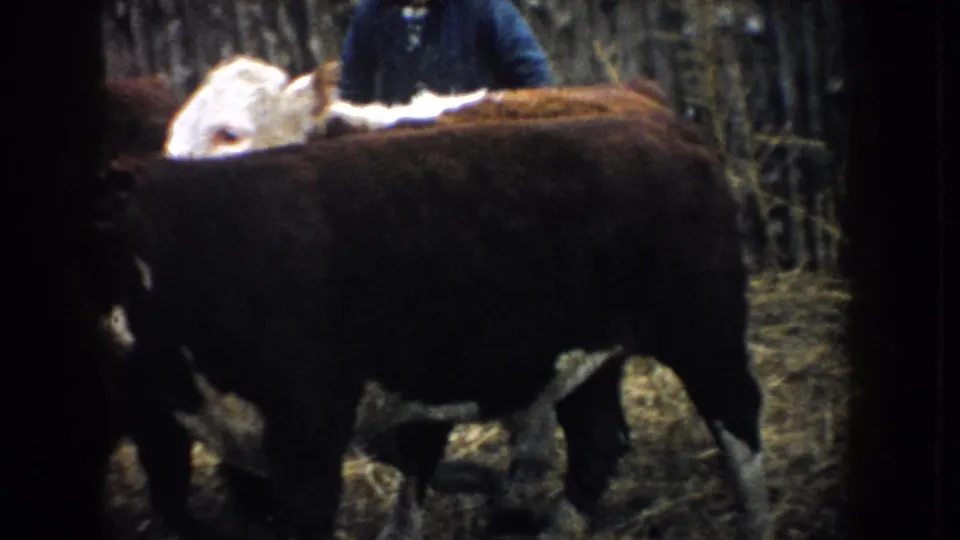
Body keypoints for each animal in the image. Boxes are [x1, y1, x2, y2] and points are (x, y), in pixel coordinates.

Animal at [101, 112, 770, 540]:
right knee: (599, 439)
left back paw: (757, 519)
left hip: (703, 326)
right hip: (586, 355)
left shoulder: (308, 429)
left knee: (736, 417)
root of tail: (663, 127)